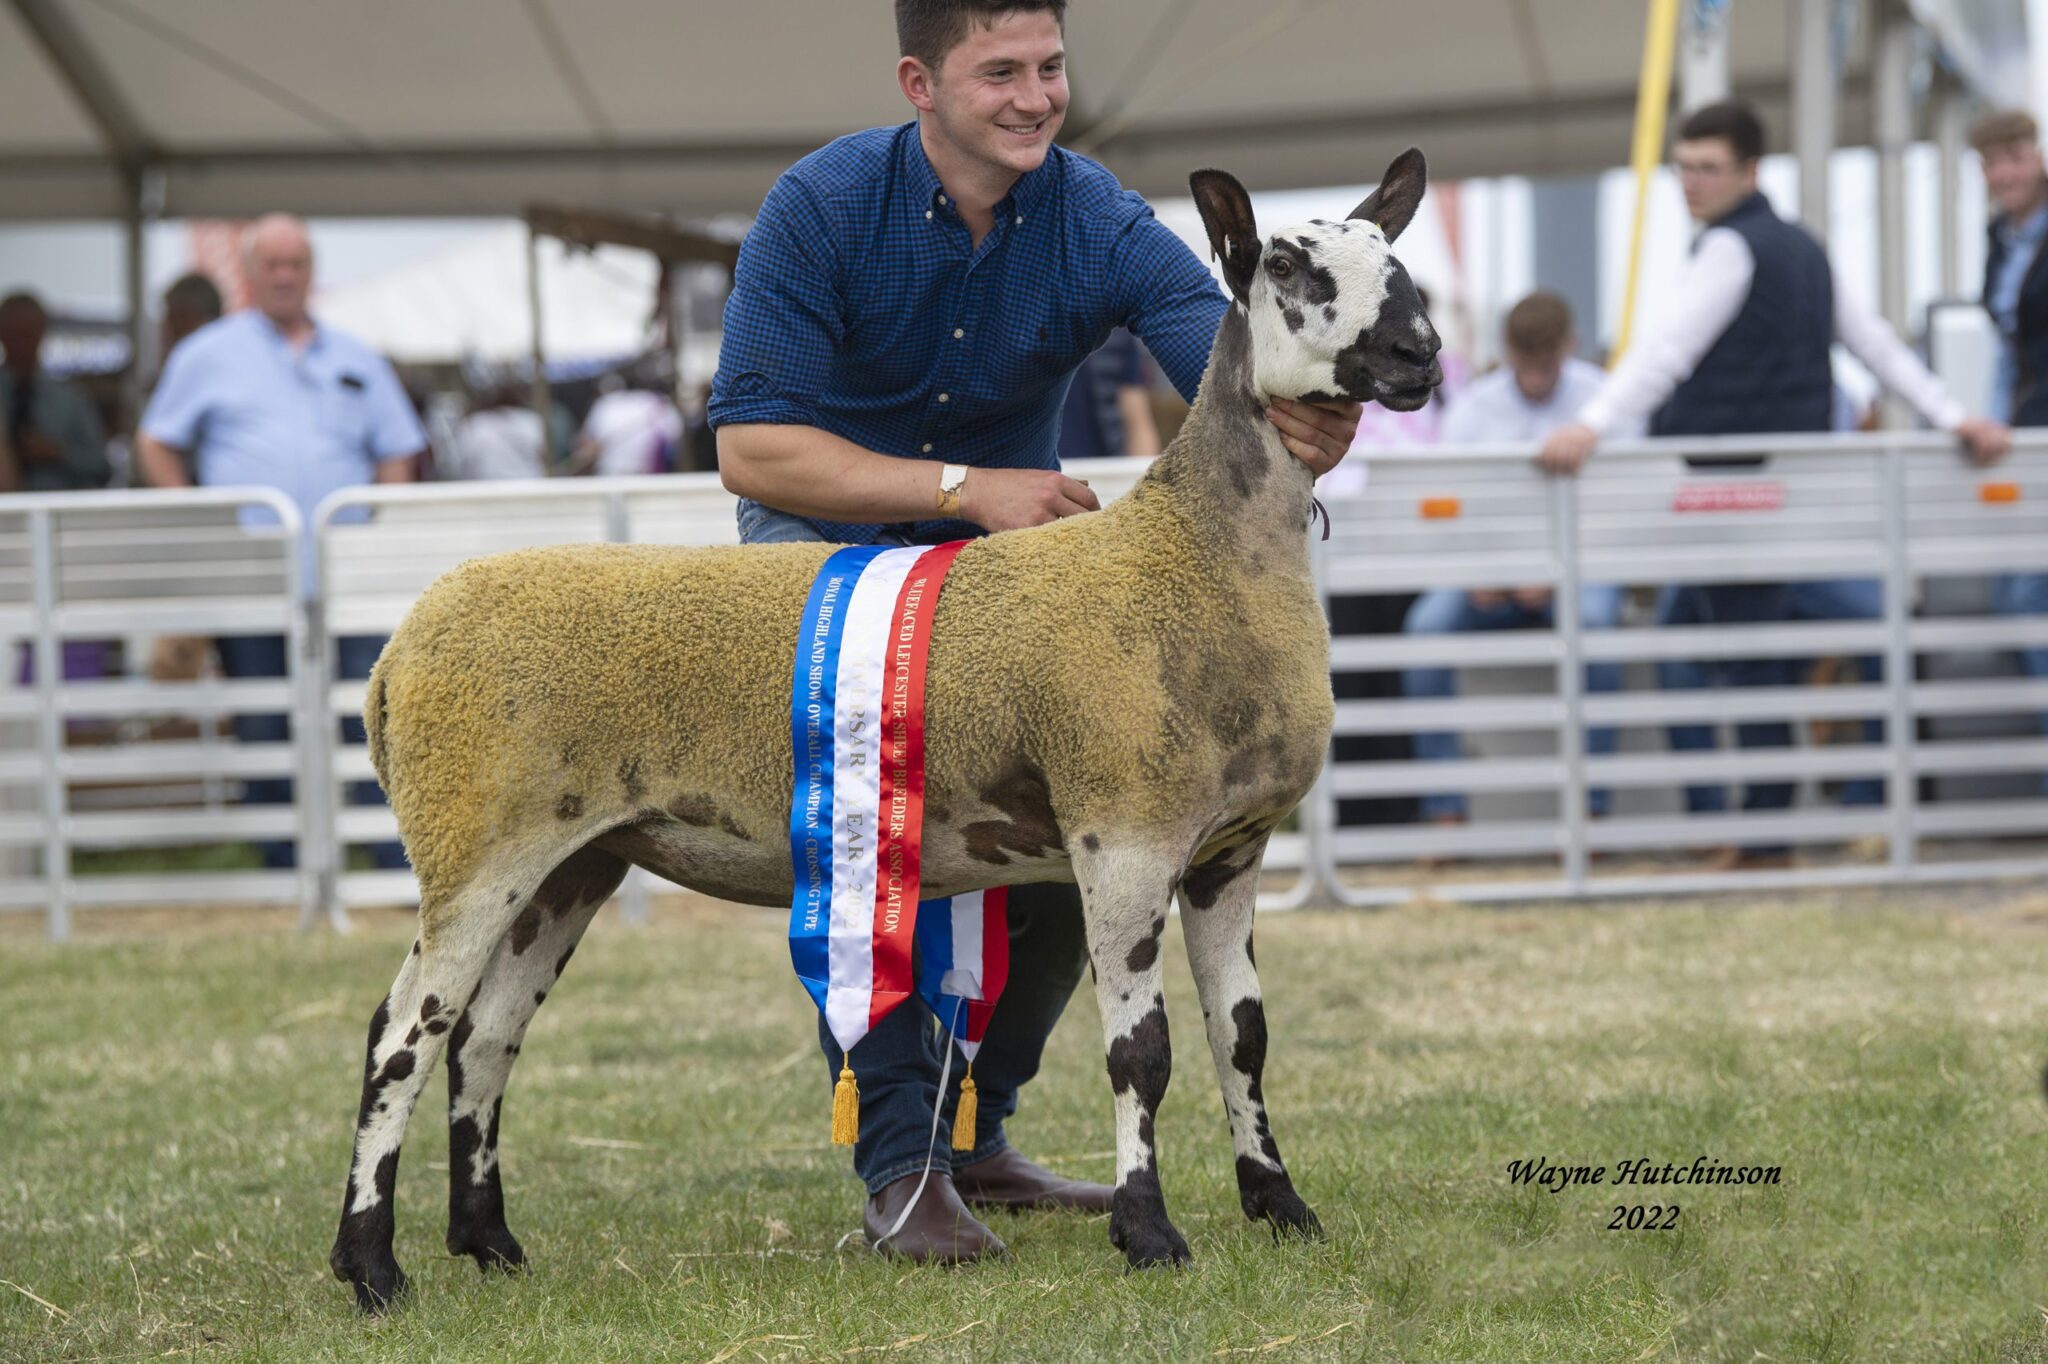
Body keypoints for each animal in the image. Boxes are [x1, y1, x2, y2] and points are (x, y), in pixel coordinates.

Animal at [327, 148, 1441, 1310]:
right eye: (1285, 264)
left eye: (1394, 255)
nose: (1419, 353)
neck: (1198, 555)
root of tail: (398, 653)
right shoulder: (1122, 834)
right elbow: (1143, 1051)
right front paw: (1147, 1232)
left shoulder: (1229, 848)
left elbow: (1243, 1035)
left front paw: (1281, 1207)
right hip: (474, 839)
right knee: (402, 1034)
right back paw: (371, 1266)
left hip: (573, 858)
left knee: (485, 1036)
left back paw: (488, 1241)